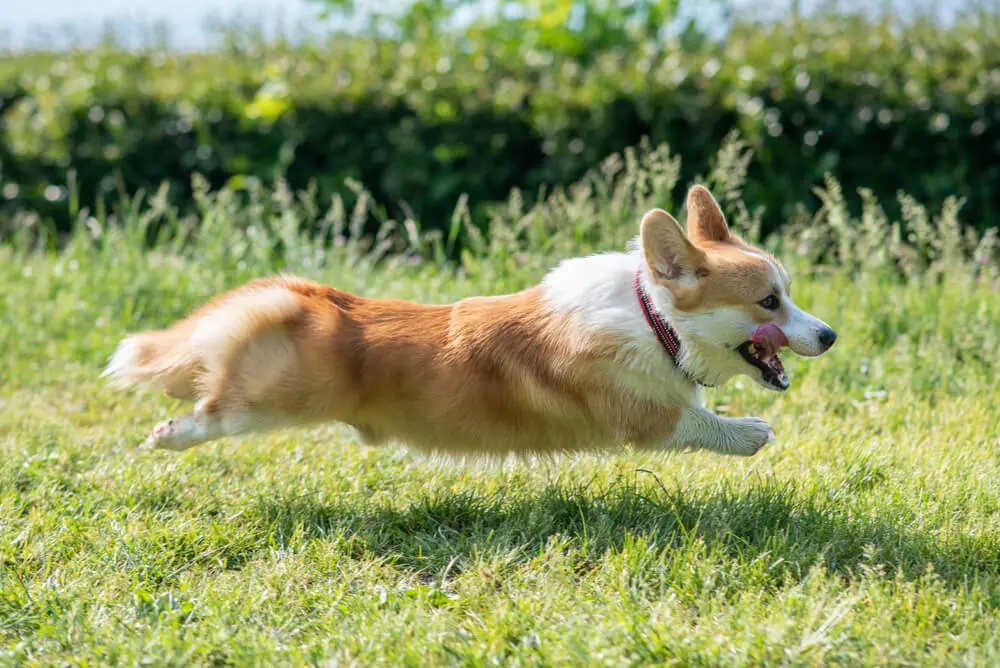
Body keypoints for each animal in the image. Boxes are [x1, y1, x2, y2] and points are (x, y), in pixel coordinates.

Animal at [103, 185, 836, 462]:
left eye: (788, 294)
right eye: (768, 302)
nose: (829, 335)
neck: (654, 318)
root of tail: (302, 294)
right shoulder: (636, 413)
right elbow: (694, 422)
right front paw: (750, 431)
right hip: (267, 404)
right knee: (210, 408)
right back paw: (169, 434)